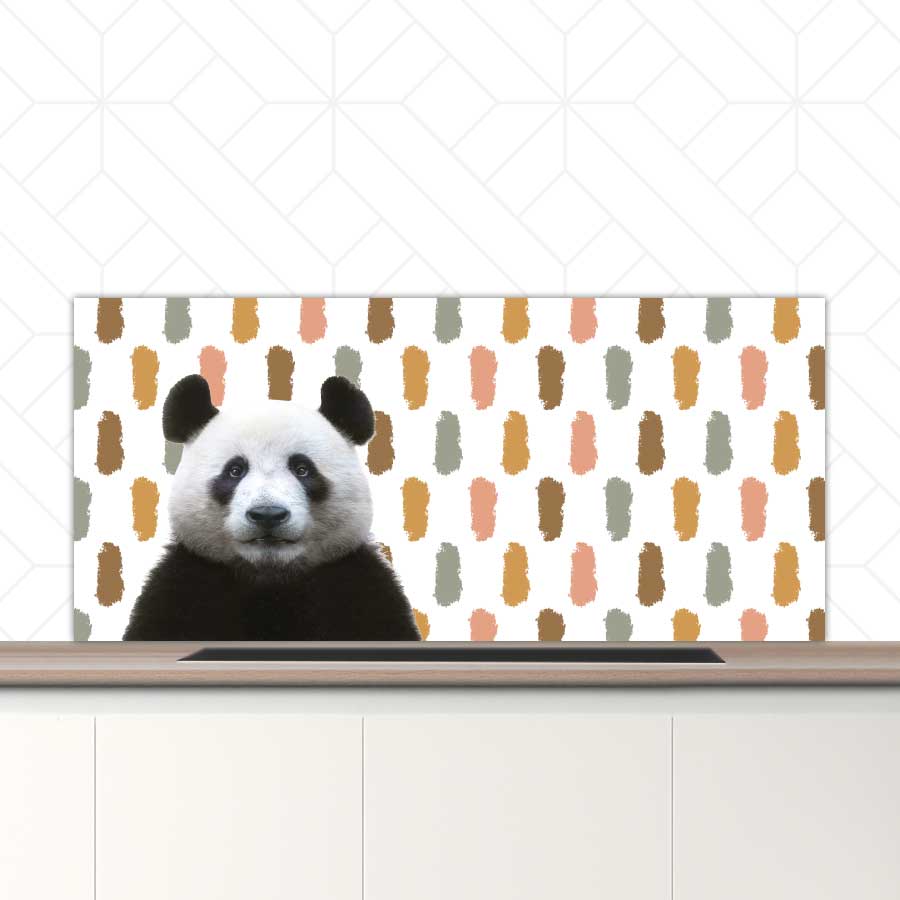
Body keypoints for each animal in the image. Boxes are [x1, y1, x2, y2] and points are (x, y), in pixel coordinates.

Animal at [123, 373, 420, 641]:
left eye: (302, 469)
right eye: (235, 470)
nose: (267, 515)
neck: (270, 579)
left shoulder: (358, 587)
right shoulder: (183, 586)